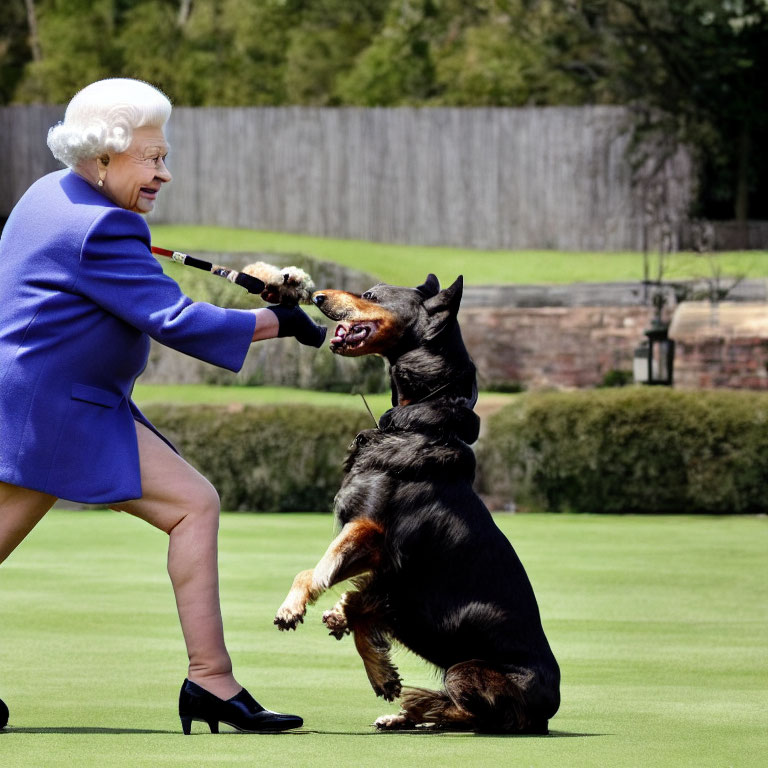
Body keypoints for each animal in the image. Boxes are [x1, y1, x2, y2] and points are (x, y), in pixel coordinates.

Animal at [272, 274, 560, 732]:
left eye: (370, 295)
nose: (317, 296)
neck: (420, 420)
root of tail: (550, 707)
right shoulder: (383, 560)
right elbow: (353, 601)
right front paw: (380, 670)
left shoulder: (371, 530)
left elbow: (316, 573)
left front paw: (293, 608)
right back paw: (408, 712)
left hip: (464, 670)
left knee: (473, 714)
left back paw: (420, 710)